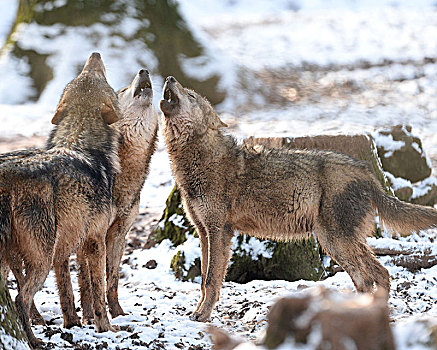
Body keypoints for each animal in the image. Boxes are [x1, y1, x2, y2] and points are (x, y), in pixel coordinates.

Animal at [0, 52, 120, 344]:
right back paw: (33, 341)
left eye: (79, 76)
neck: (81, 142)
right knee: (20, 299)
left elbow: (68, 290)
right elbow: (98, 292)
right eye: (95, 75)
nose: (95, 54)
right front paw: (105, 327)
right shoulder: (95, 240)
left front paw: (73, 323)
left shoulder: (66, 248)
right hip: (40, 259)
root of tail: (6, 176)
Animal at [159, 75, 436, 322]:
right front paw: (197, 311)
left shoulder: (219, 231)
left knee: (369, 278)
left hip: (334, 241)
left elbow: (210, 279)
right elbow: (204, 280)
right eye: (185, 90)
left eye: (190, 95)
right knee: (380, 274)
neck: (200, 159)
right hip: (338, 242)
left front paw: (203, 315)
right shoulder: (204, 232)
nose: (169, 77)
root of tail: (367, 172)